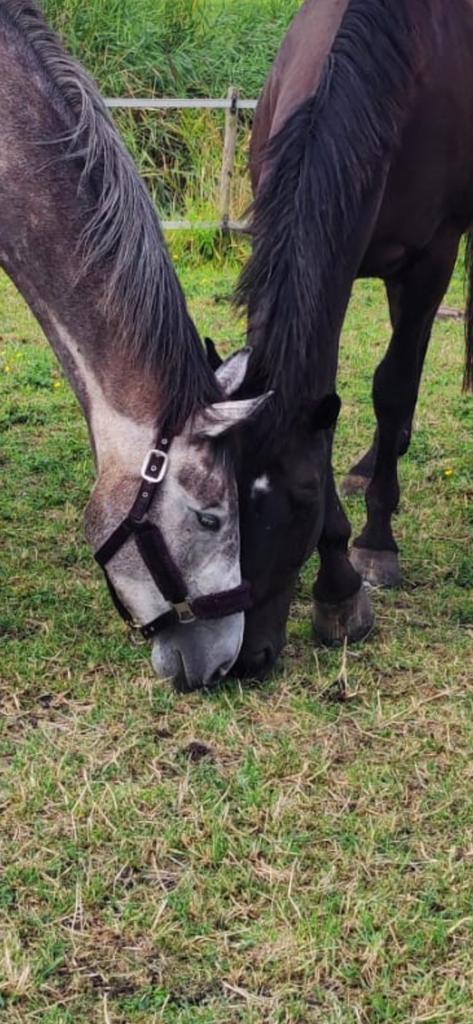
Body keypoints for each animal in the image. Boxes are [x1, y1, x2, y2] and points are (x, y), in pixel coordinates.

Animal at [211, 0, 473, 676]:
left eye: (300, 500)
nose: (244, 658)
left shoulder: (433, 256)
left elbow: (393, 386)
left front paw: (375, 546)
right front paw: (338, 585)